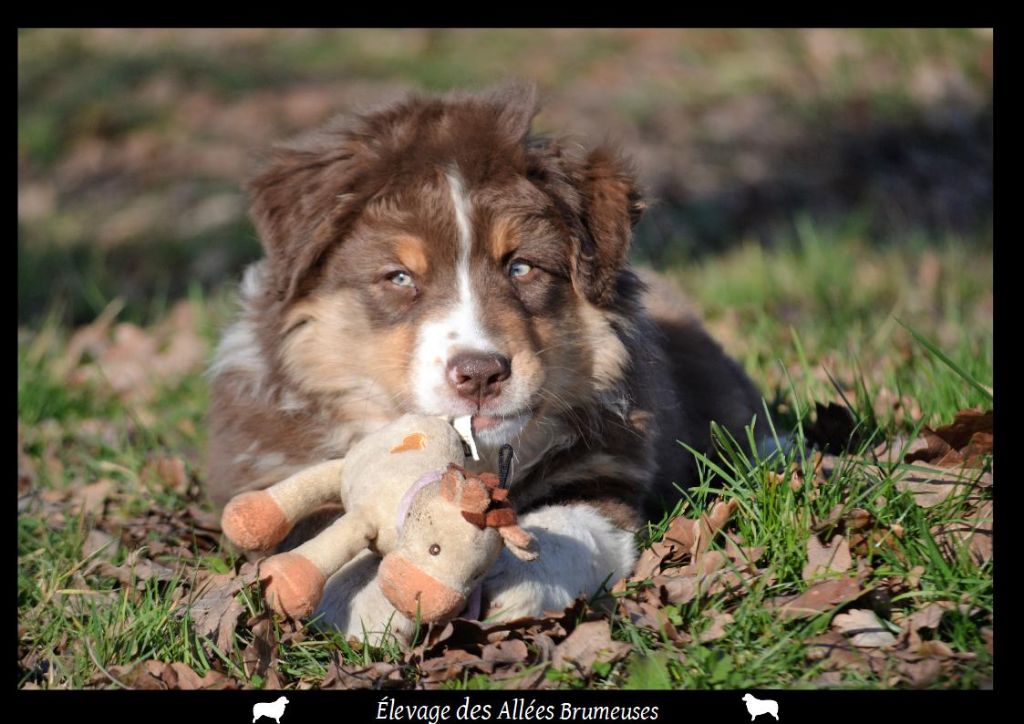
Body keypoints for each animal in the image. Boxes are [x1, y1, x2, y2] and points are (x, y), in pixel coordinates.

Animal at [207, 84, 765, 639]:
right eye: (399, 278)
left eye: (521, 267)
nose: (480, 373)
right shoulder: (275, 464)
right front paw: (380, 604)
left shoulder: (608, 464)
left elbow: (574, 523)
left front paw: (515, 576)